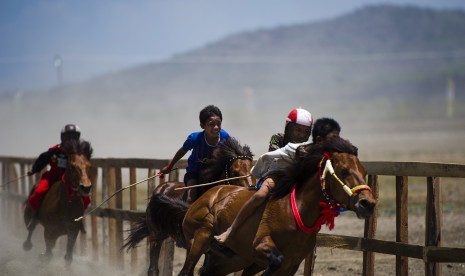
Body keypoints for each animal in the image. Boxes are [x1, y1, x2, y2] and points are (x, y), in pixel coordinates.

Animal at [121, 138, 256, 276]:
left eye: (250, 169)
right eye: (235, 172)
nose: (250, 189)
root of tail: (162, 187)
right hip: (156, 234)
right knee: (153, 268)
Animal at [150, 138, 376, 276]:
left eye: (364, 171)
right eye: (344, 170)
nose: (368, 203)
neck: (296, 211)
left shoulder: (291, 264)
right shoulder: (261, 246)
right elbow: (274, 259)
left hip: (233, 259)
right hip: (200, 238)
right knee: (186, 269)